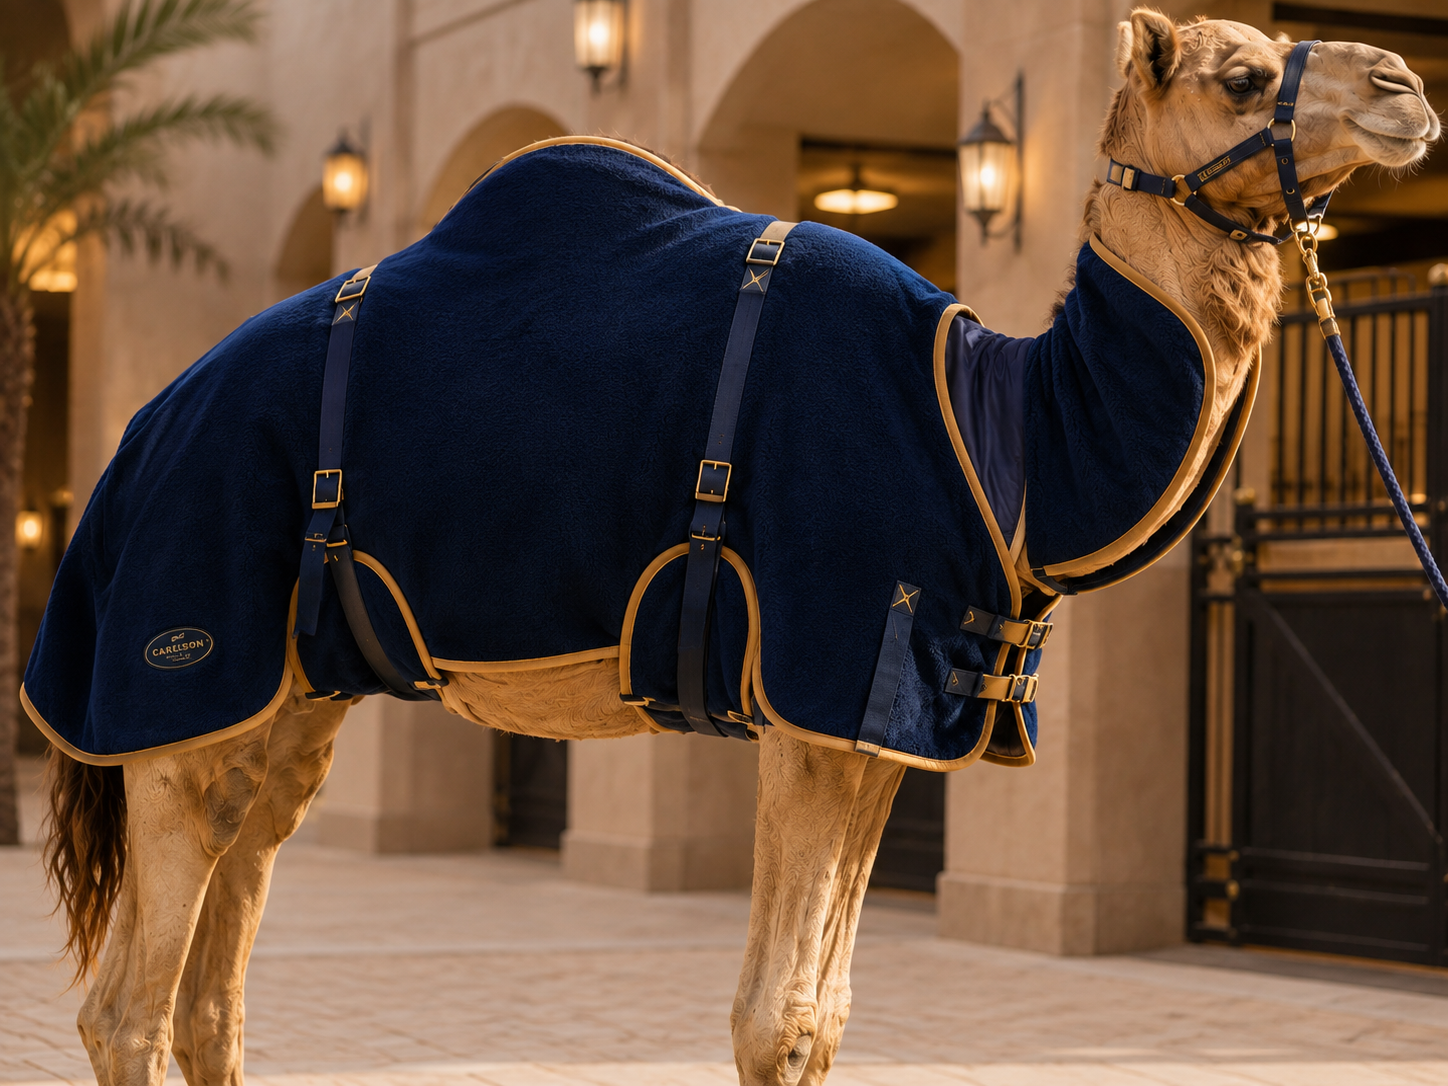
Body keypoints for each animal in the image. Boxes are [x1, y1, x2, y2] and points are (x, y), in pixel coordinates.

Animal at [33, 11, 1437, 1086]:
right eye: (1239, 77)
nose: (1404, 85)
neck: (1000, 433)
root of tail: (137, 437)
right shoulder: (821, 678)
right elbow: (773, 1020)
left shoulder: (887, 707)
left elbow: (824, 1017)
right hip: (182, 650)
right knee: (126, 1005)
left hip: (287, 702)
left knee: (220, 965)